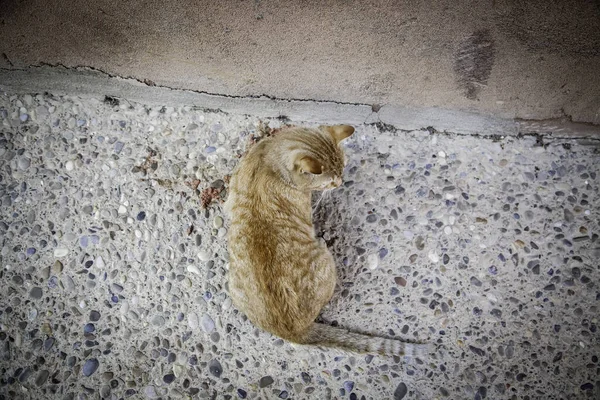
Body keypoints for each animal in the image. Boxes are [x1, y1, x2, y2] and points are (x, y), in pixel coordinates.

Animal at [224, 125, 426, 356]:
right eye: (329, 181)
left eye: (343, 168)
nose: (340, 182)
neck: (268, 160)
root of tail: (294, 332)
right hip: (326, 259)